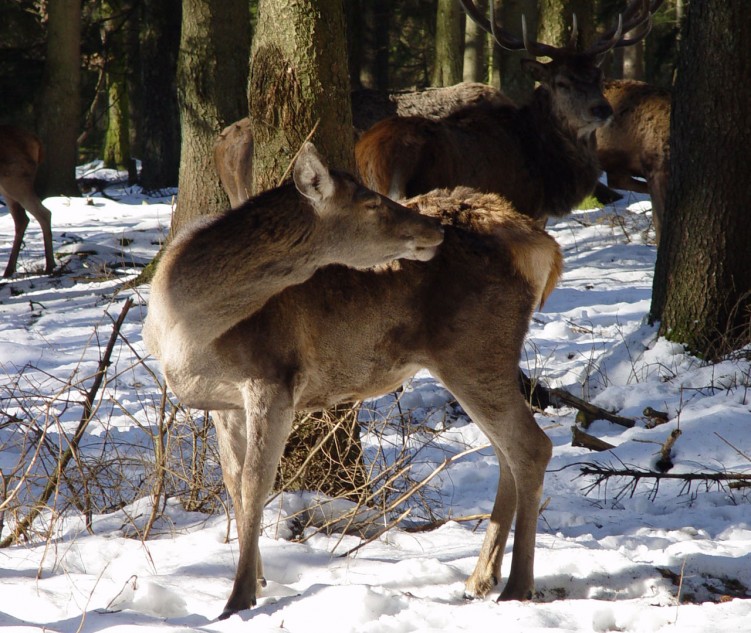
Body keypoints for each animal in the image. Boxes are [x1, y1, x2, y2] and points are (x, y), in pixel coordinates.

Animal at [0, 124, 55, 276]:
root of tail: (36, 141)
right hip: (7, 187)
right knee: (22, 219)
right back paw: (9, 269)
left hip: (15, 179)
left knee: (44, 213)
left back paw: (49, 266)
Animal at [142, 142, 564, 616]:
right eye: (370, 202)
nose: (434, 229)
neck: (183, 329)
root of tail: (545, 246)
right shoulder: (224, 401)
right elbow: (234, 480)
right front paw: (260, 579)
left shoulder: (274, 377)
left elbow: (256, 482)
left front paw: (238, 599)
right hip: (473, 360)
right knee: (504, 451)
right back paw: (480, 578)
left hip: (475, 350)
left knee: (531, 446)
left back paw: (517, 586)